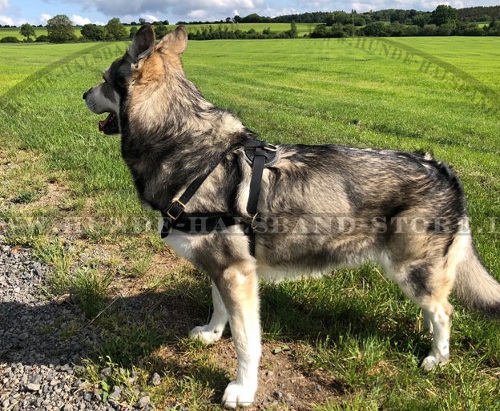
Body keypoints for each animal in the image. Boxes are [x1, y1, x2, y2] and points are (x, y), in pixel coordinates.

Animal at [83, 25, 500, 408]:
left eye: (104, 79)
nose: (83, 95)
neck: (190, 151)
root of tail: (442, 167)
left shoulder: (237, 275)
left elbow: (247, 344)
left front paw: (243, 389)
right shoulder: (222, 270)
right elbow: (218, 308)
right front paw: (212, 334)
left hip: (411, 270)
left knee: (444, 312)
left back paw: (436, 359)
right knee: (437, 309)